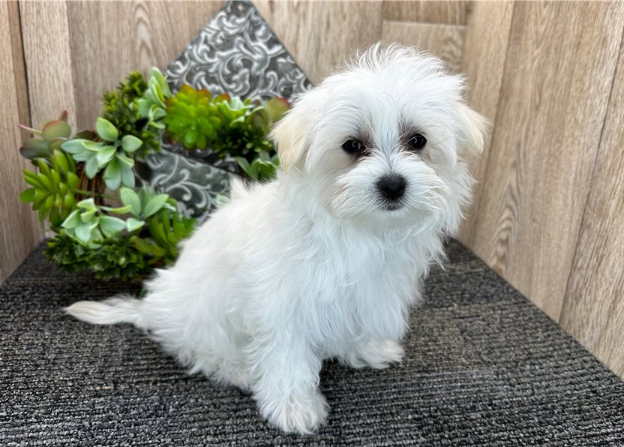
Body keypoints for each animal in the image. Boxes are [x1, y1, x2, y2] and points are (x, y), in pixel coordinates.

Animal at [67, 44, 488, 434]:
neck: (357, 230)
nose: (393, 184)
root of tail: (154, 308)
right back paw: (237, 368)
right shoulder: (283, 304)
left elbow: (355, 321)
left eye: (417, 141)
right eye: (352, 145)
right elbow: (287, 357)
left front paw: (366, 349)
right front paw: (293, 408)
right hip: (201, 313)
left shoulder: (368, 291)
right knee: (197, 350)